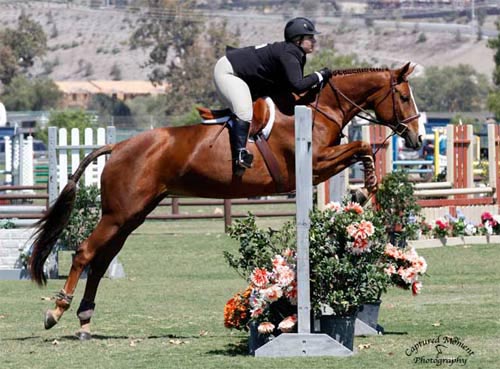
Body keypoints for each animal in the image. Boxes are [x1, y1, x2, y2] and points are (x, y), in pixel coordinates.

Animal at [30, 61, 422, 340]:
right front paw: (364, 188)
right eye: (403, 97)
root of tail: (119, 146)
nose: (417, 139)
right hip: (117, 214)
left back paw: (84, 320)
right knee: (84, 253)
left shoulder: (320, 165)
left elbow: (360, 149)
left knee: (100, 262)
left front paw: (362, 190)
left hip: (131, 216)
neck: (318, 108)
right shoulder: (313, 164)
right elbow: (362, 146)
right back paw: (55, 312)